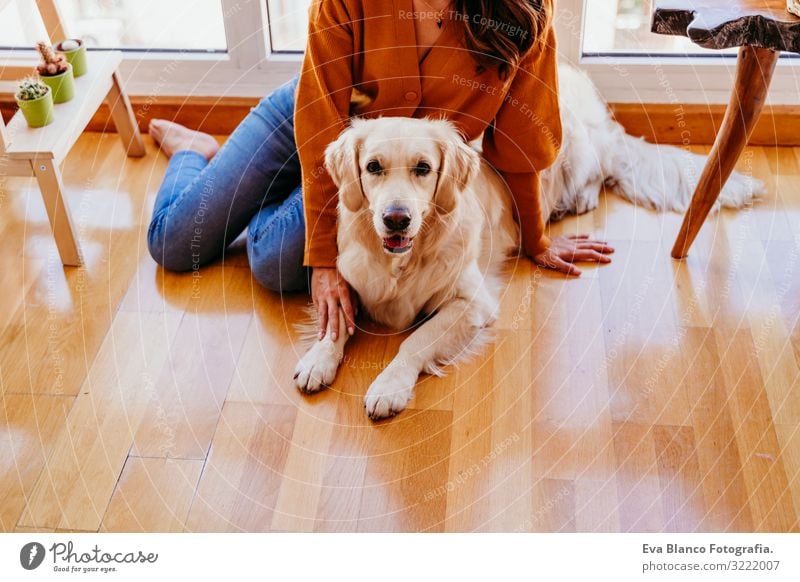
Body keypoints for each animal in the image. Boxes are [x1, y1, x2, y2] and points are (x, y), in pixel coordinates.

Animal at [294, 62, 764, 420]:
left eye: (423, 168)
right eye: (373, 167)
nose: (396, 219)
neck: (400, 262)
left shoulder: (471, 302)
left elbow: (415, 341)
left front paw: (389, 385)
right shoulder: (352, 282)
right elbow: (336, 319)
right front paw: (318, 359)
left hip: (570, 151)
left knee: (597, 172)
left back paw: (575, 201)